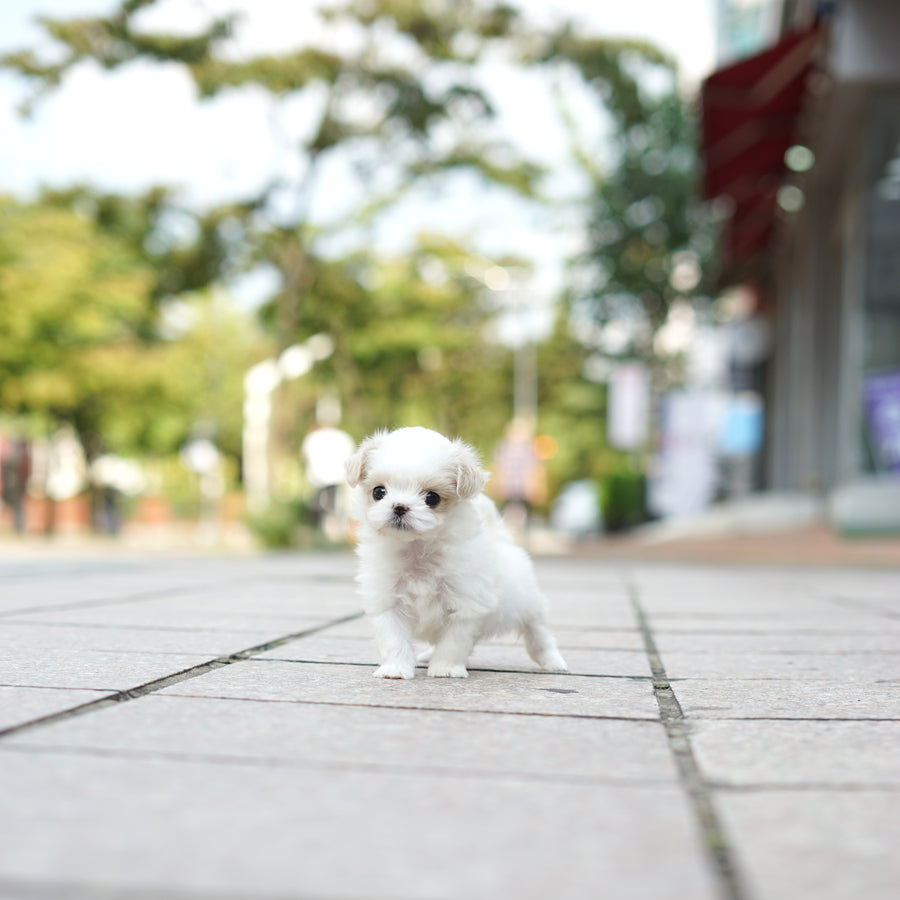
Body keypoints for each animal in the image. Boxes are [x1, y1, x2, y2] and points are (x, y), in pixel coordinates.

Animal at [346, 426, 568, 680]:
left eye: (432, 497)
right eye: (379, 492)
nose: (399, 506)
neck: (417, 550)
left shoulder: (465, 604)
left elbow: (453, 642)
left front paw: (446, 669)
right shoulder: (388, 601)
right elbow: (393, 639)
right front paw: (396, 669)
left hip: (529, 605)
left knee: (539, 635)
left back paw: (553, 662)